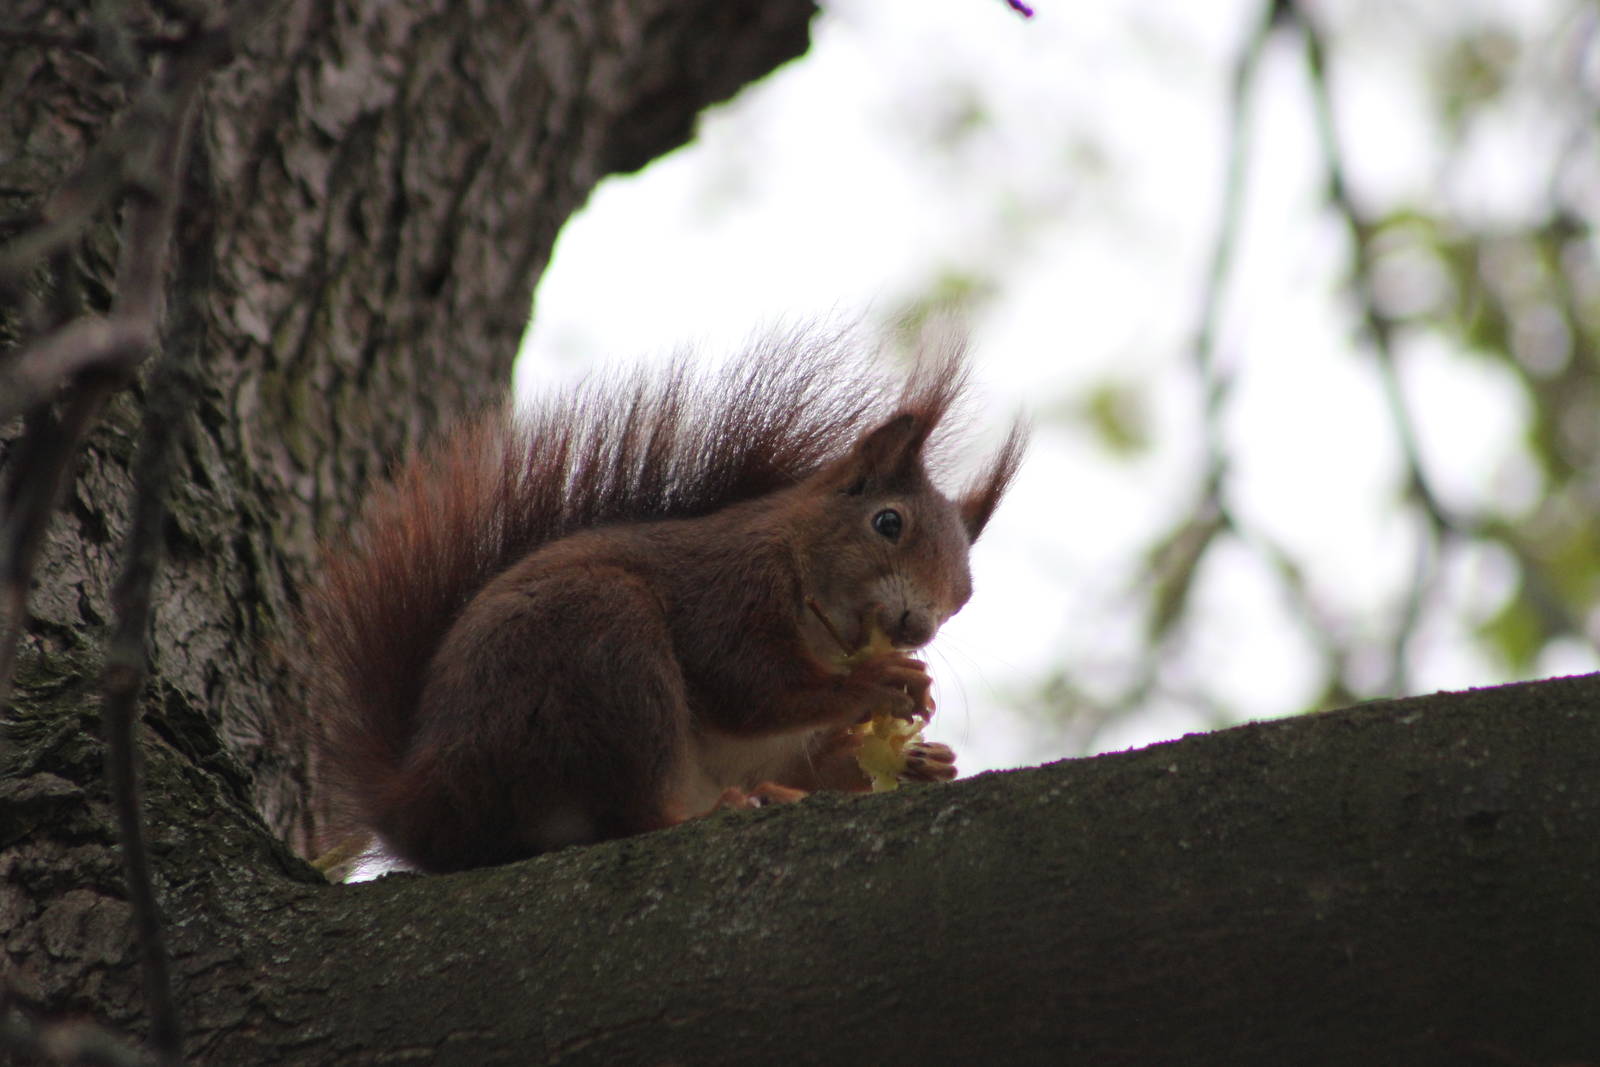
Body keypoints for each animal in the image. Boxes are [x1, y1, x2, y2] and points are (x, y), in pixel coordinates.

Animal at [301, 329, 1026, 873]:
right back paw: (713, 809)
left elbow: (804, 755)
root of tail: (421, 802)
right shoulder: (726, 589)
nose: (915, 626)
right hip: (599, 651)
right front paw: (880, 681)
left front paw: (916, 758)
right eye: (888, 523)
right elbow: (752, 686)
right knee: (630, 814)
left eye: (963, 595)